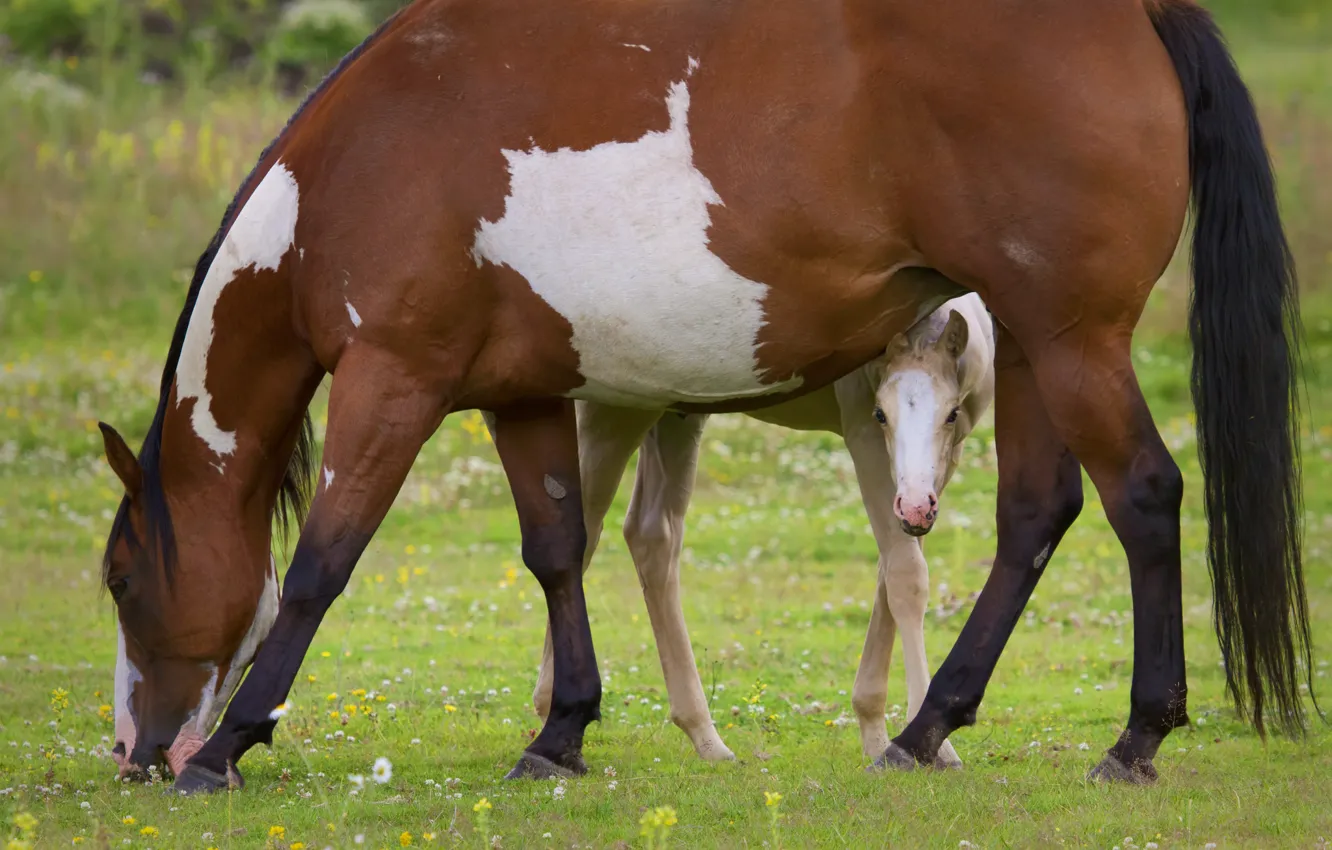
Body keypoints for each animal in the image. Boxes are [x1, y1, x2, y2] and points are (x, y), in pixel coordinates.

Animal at [524, 294, 996, 767]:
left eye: (951, 414)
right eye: (882, 414)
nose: (916, 506)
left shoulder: (942, 464)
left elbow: (891, 566)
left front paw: (880, 734)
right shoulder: (864, 434)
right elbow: (905, 575)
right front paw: (931, 743)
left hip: (675, 413)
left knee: (651, 533)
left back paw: (704, 736)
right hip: (616, 409)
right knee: (584, 528)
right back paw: (552, 711)